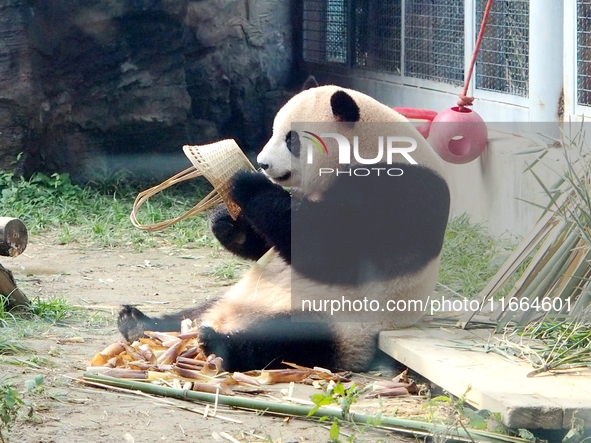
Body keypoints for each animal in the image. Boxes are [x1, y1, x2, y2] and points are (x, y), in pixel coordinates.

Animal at [118, 82, 450, 372]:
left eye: (291, 139)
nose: (263, 164)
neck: (372, 147)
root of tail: (227, 318)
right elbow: (271, 244)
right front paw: (225, 219)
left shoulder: (402, 190)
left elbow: (332, 250)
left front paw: (248, 184)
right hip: (230, 298)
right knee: (188, 314)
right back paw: (139, 323)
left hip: (343, 322)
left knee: (294, 339)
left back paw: (219, 344)